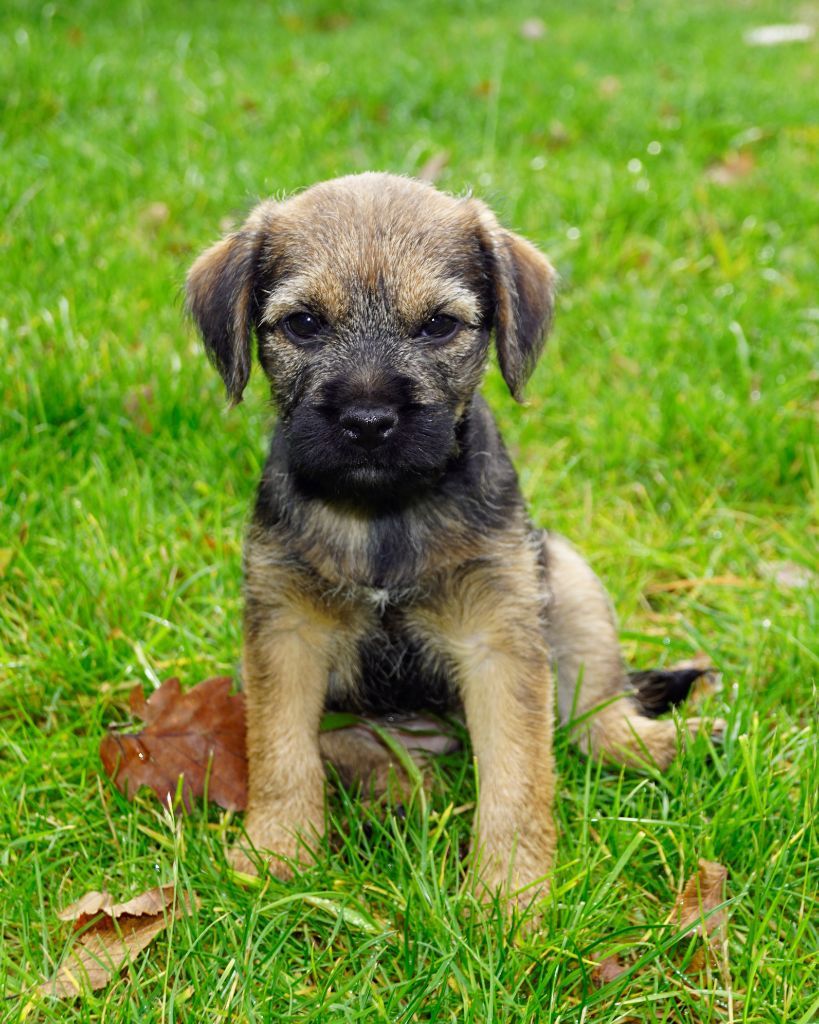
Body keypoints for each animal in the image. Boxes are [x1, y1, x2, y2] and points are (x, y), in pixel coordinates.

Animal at [187, 172, 716, 901]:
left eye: (439, 325)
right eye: (303, 323)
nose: (368, 420)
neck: (384, 513)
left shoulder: (498, 637)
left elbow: (518, 777)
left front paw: (509, 896)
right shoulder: (285, 631)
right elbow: (282, 755)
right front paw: (275, 854)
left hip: (567, 576)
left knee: (593, 716)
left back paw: (660, 743)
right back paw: (400, 785)